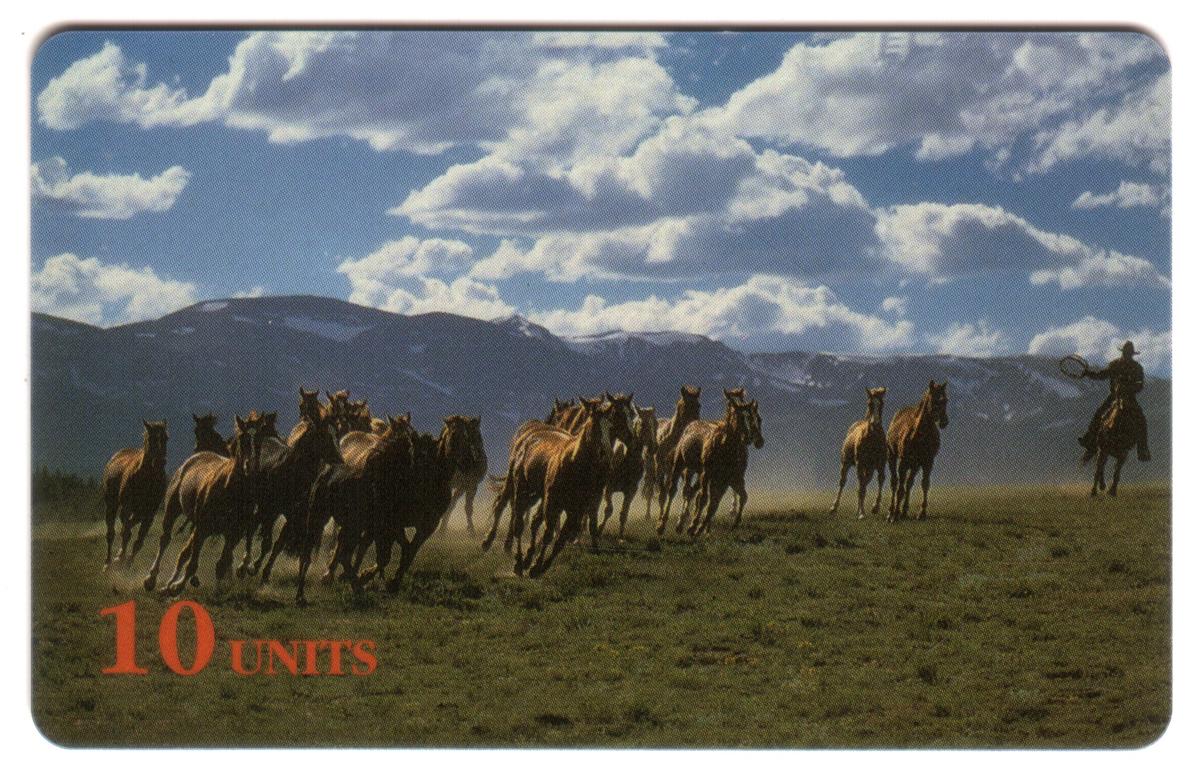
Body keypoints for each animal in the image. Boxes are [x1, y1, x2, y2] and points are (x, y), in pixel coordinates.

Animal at [101, 420, 168, 570]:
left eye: (166, 438)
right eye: (151, 438)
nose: (160, 462)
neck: (147, 479)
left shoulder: (150, 513)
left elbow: (138, 540)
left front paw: (127, 562)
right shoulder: (128, 506)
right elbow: (126, 533)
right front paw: (120, 559)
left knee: (128, 525)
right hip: (111, 504)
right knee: (111, 533)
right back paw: (108, 562)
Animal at [159, 413, 268, 595]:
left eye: (260, 439)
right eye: (242, 438)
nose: (250, 467)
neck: (230, 489)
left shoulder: (234, 534)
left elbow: (222, 563)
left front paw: (220, 589)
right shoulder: (202, 527)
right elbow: (192, 563)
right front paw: (177, 586)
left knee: (185, 552)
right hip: (172, 511)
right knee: (165, 541)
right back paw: (153, 580)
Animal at [688, 399, 764, 536]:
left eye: (759, 419)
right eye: (746, 419)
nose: (759, 442)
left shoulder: (732, 479)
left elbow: (736, 498)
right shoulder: (714, 476)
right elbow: (707, 499)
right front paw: (696, 526)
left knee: (703, 496)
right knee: (694, 494)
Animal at [830, 387, 888, 519]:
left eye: (881, 404)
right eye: (870, 404)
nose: (875, 423)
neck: (873, 439)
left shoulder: (880, 464)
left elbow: (880, 480)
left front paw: (875, 507)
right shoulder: (860, 463)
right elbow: (861, 487)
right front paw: (862, 513)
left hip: (869, 468)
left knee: (863, 483)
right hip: (846, 463)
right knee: (843, 482)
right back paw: (834, 507)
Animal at [886, 381, 949, 522]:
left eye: (946, 400)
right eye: (934, 399)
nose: (944, 422)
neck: (920, 435)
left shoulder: (928, 462)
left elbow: (925, 484)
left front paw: (922, 513)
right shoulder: (903, 462)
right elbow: (900, 488)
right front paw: (895, 515)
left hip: (915, 465)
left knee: (909, 483)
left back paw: (904, 511)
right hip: (893, 457)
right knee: (895, 482)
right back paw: (891, 511)